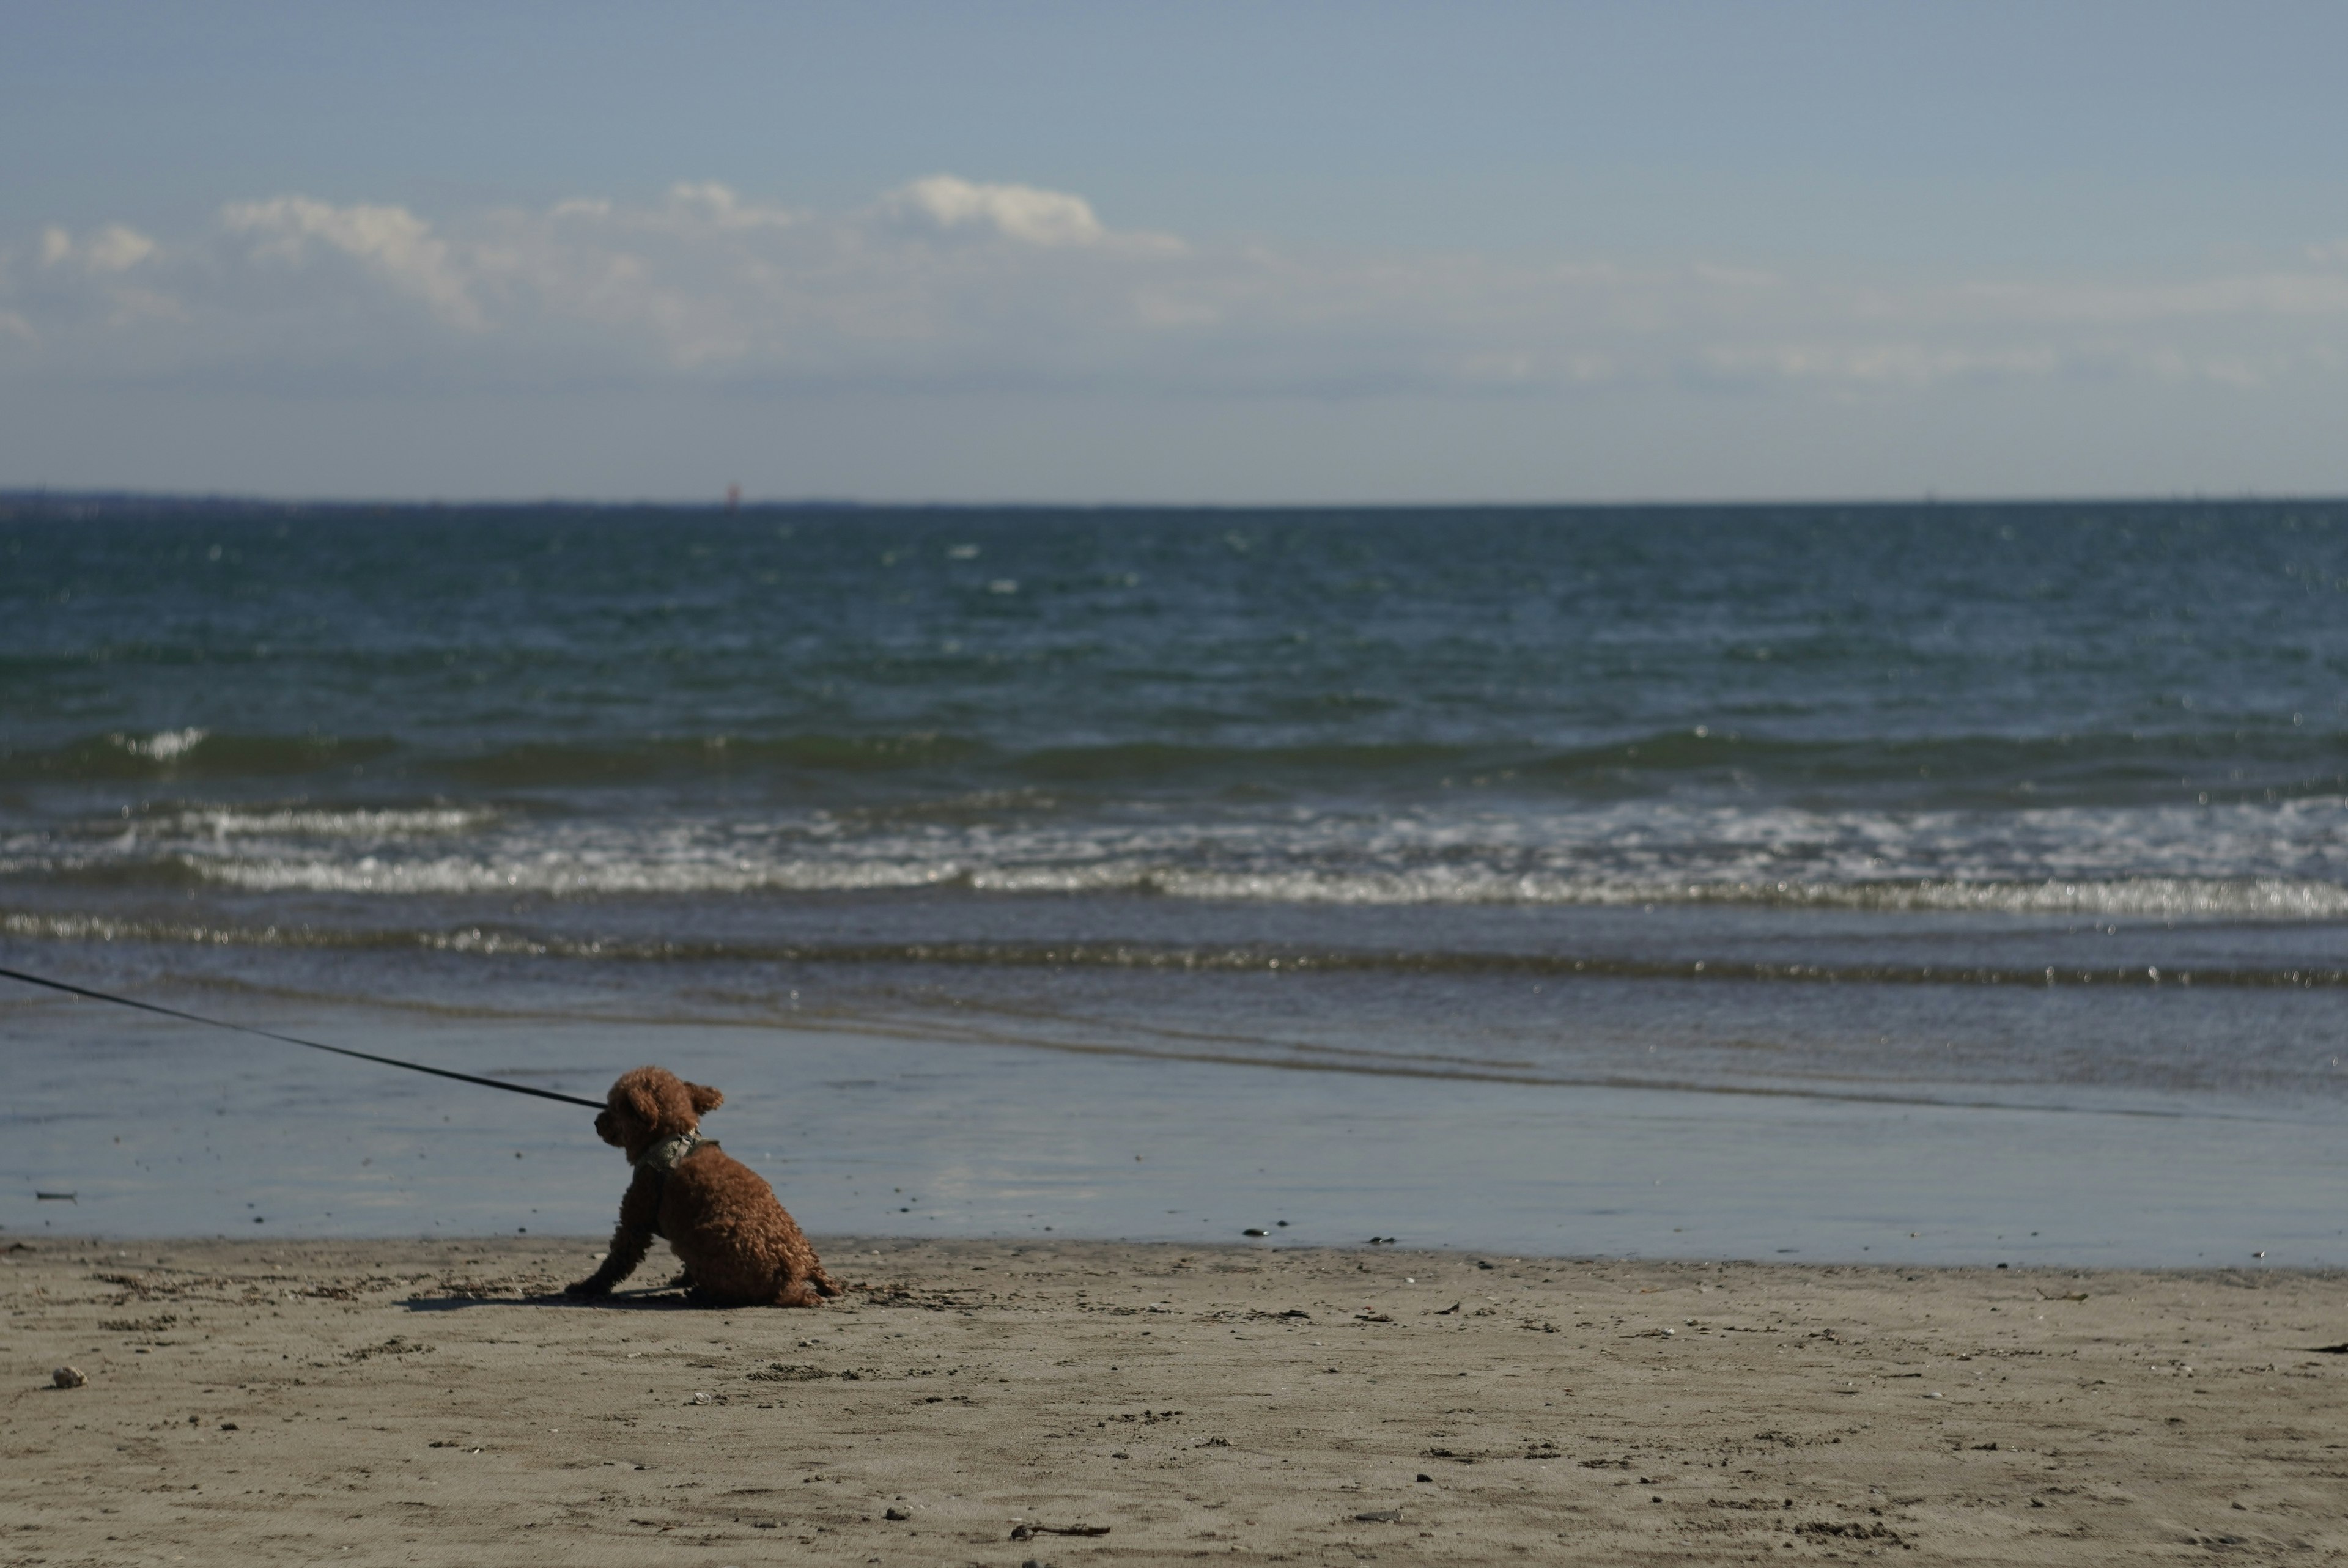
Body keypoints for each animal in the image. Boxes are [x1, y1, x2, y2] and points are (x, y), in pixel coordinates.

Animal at [563, 1066, 840, 1314]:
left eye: (615, 1106)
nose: (596, 1122)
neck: (670, 1139)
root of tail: (789, 1277)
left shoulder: (636, 1219)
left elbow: (616, 1261)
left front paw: (586, 1287)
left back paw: (699, 1293)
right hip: (800, 1245)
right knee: (819, 1271)